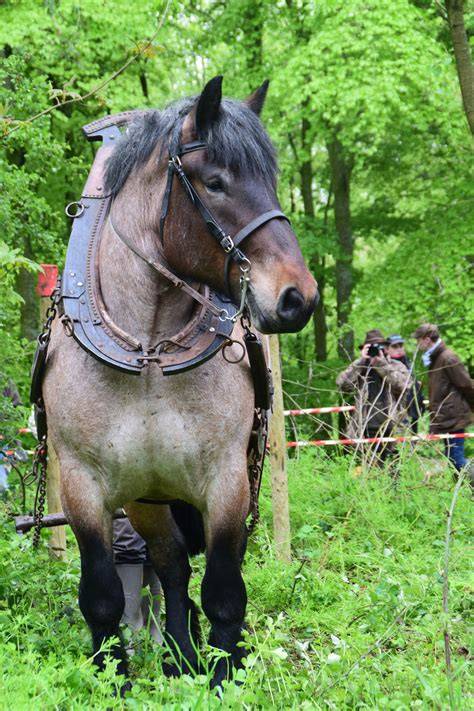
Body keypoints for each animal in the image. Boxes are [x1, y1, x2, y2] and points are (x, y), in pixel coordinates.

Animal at [42, 75, 317, 688]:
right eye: (215, 183)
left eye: (272, 180)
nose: (300, 298)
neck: (148, 353)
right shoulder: (83, 487)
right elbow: (102, 596)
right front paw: (114, 678)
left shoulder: (227, 482)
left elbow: (225, 591)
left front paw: (225, 675)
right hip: (146, 496)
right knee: (169, 565)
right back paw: (177, 656)